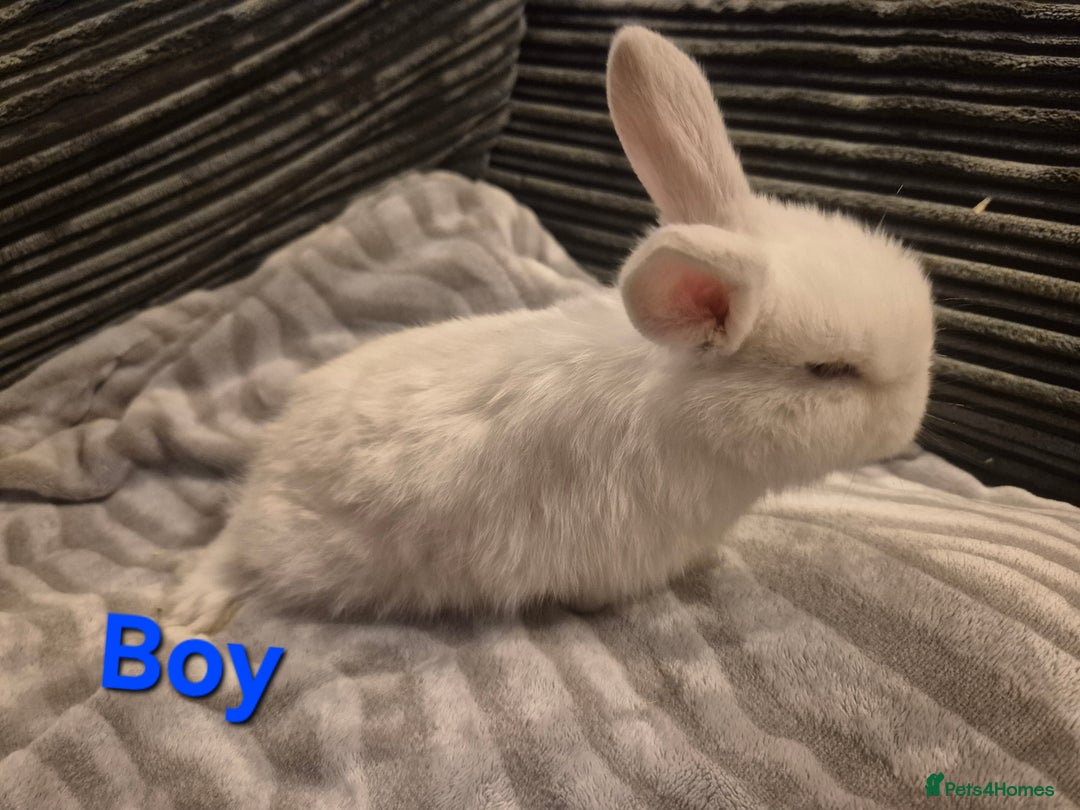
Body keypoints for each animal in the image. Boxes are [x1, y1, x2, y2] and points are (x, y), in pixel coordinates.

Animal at [165, 26, 934, 633]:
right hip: (289, 540)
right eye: (829, 371)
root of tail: (272, 455)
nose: (911, 427)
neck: (686, 413)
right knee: (232, 552)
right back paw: (191, 612)